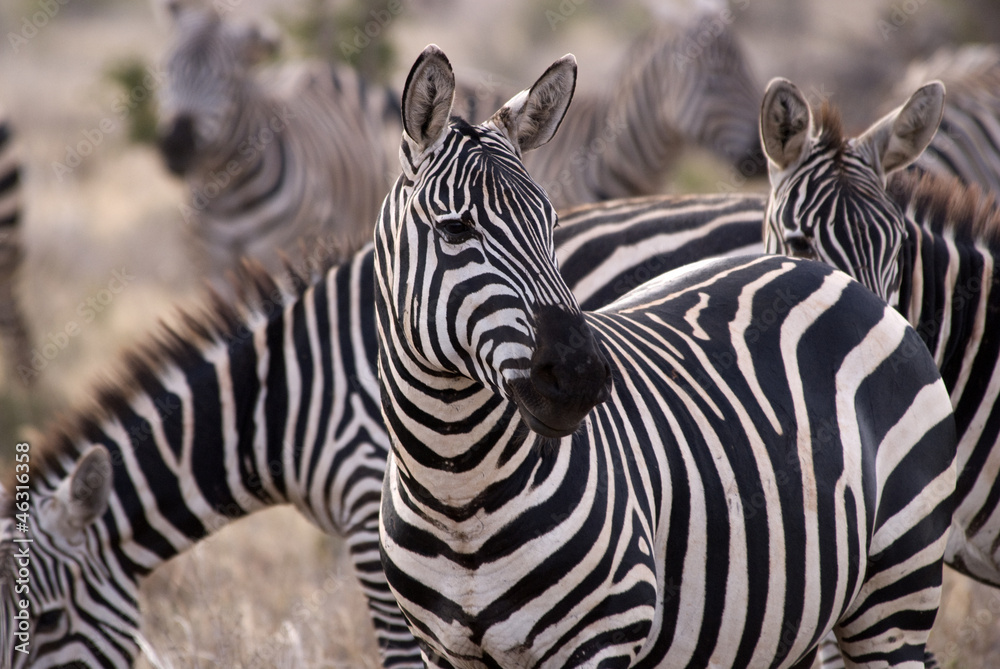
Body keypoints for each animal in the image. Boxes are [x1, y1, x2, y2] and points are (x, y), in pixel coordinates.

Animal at [375, 45, 955, 668]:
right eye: (455, 230)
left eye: (551, 224)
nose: (581, 378)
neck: (456, 490)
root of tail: (831, 275)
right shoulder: (442, 651)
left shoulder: (603, 636)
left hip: (896, 591)